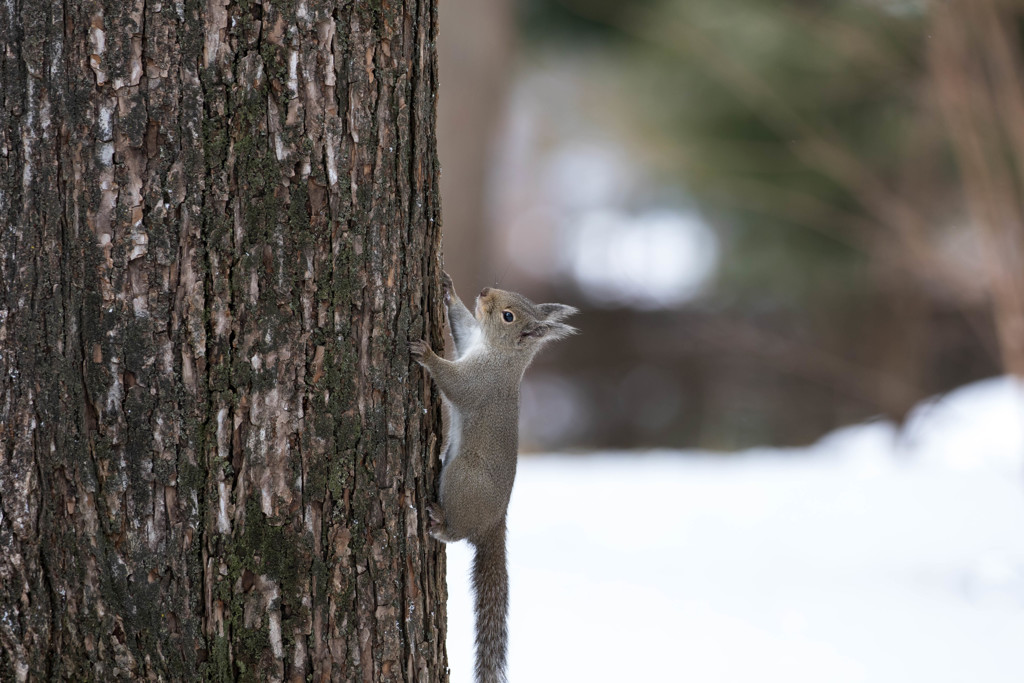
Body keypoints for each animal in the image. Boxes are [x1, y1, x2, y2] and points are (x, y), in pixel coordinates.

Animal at [407, 272, 577, 683]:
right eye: (509, 298)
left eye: (508, 316)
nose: (484, 291)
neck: (500, 354)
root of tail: (495, 522)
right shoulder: (470, 338)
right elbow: (462, 323)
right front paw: (448, 289)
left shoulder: (479, 382)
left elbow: (454, 382)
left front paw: (427, 354)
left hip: (462, 480)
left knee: (457, 533)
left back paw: (438, 522)